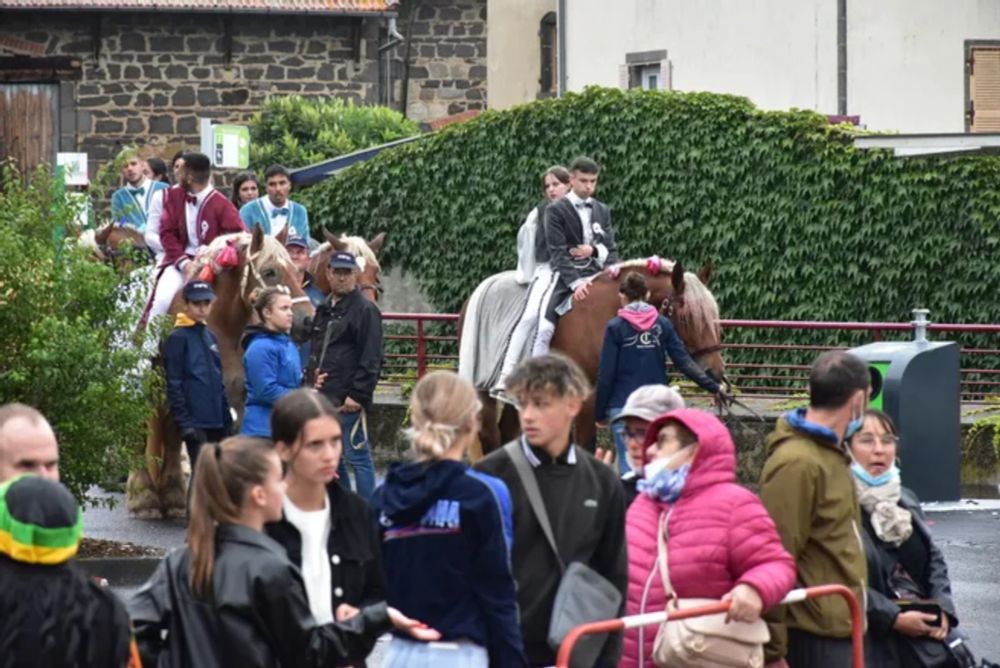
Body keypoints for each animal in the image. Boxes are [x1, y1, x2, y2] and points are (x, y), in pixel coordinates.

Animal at [126, 227, 312, 520]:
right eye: (270, 271)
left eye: (296, 270)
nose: (308, 320)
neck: (223, 326)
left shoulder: (239, 399)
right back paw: (145, 497)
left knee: (170, 435)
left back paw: (173, 496)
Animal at [458, 258, 724, 460]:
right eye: (688, 317)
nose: (716, 373)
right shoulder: (587, 399)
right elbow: (585, 446)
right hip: (482, 388)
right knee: (490, 435)